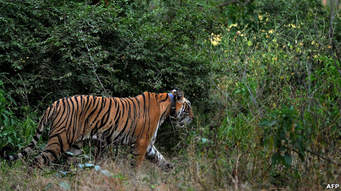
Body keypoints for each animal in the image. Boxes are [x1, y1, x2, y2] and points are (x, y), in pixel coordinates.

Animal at [4, 89, 191, 171]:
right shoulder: (141, 142)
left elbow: (161, 158)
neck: (168, 107)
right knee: (37, 161)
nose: (193, 118)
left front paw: (172, 169)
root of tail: (55, 103)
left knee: (69, 166)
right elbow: (136, 165)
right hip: (59, 140)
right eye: (188, 108)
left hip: (74, 147)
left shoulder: (149, 145)